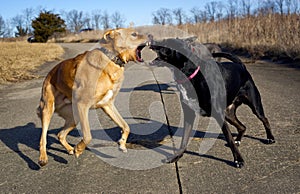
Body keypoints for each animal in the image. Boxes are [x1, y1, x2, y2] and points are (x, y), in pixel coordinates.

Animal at [148, 38, 274, 168]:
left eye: (166, 42)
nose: (150, 41)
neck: (191, 75)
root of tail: (241, 66)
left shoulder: (218, 115)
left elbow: (229, 137)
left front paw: (238, 160)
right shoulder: (189, 114)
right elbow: (184, 139)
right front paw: (176, 157)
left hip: (254, 105)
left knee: (264, 119)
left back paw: (270, 138)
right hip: (228, 114)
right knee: (242, 127)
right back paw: (238, 140)